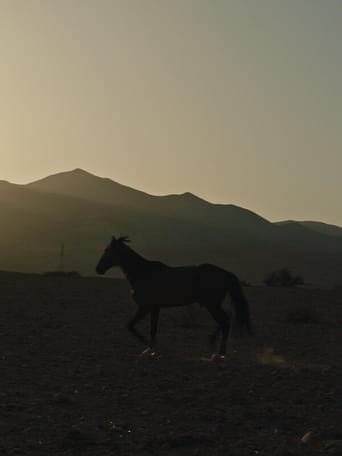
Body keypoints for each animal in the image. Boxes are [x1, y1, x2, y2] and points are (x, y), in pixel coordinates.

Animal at [96, 237, 251, 358]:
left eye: (107, 250)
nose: (98, 269)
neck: (143, 273)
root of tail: (225, 273)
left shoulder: (145, 307)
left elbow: (130, 325)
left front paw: (146, 345)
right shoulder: (155, 308)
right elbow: (152, 329)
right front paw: (151, 348)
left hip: (212, 305)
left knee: (225, 322)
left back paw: (219, 351)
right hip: (213, 305)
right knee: (225, 321)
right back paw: (214, 343)